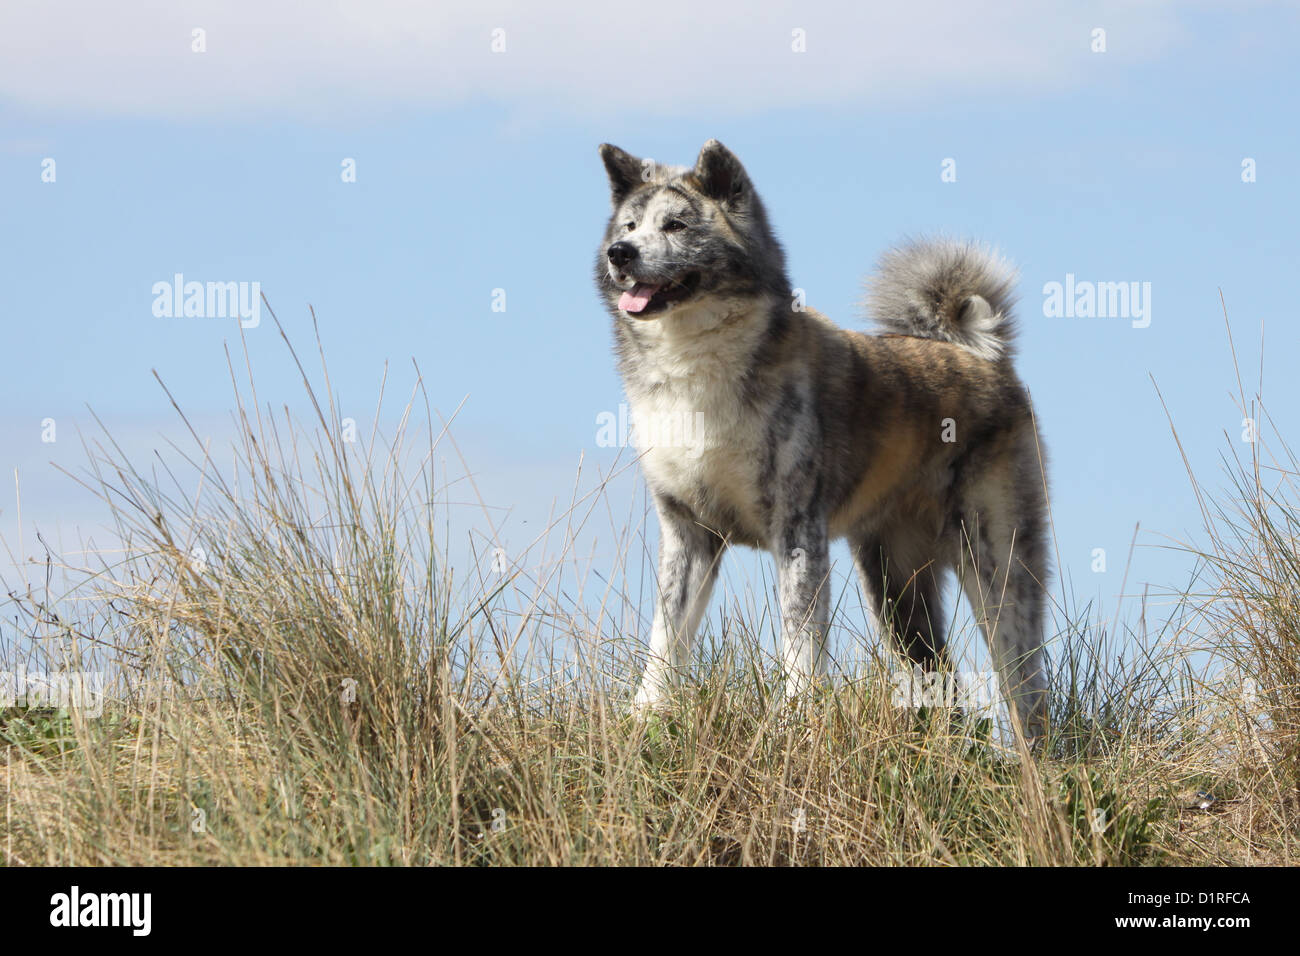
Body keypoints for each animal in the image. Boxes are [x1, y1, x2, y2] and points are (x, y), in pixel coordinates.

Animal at [595, 138, 1050, 743]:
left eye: (675, 224)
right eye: (628, 224)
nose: (619, 254)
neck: (694, 363)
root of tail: (979, 356)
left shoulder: (798, 532)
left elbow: (800, 641)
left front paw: (792, 721)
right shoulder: (689, 534)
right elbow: (666, 637)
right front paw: (643, 718)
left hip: (997, 566)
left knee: (1025, 681)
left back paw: (1035, 757)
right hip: (894, 586)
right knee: (940, 675)